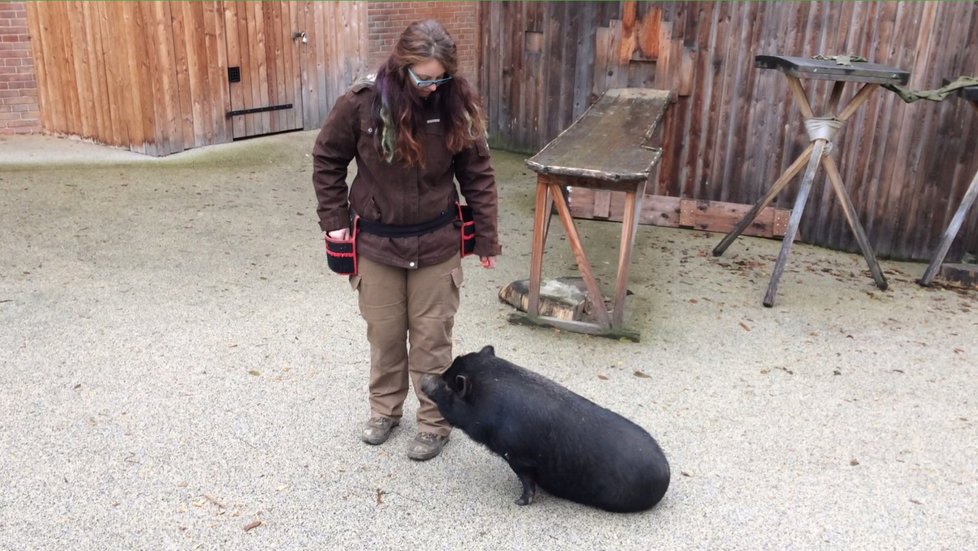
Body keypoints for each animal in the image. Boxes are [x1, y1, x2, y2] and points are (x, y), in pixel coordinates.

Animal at [416, 344, 668, 512]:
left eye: (447, 385)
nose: (423, 379)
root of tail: (667, 473)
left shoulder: (517, 455)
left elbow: (526, 480)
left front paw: (519, 502)